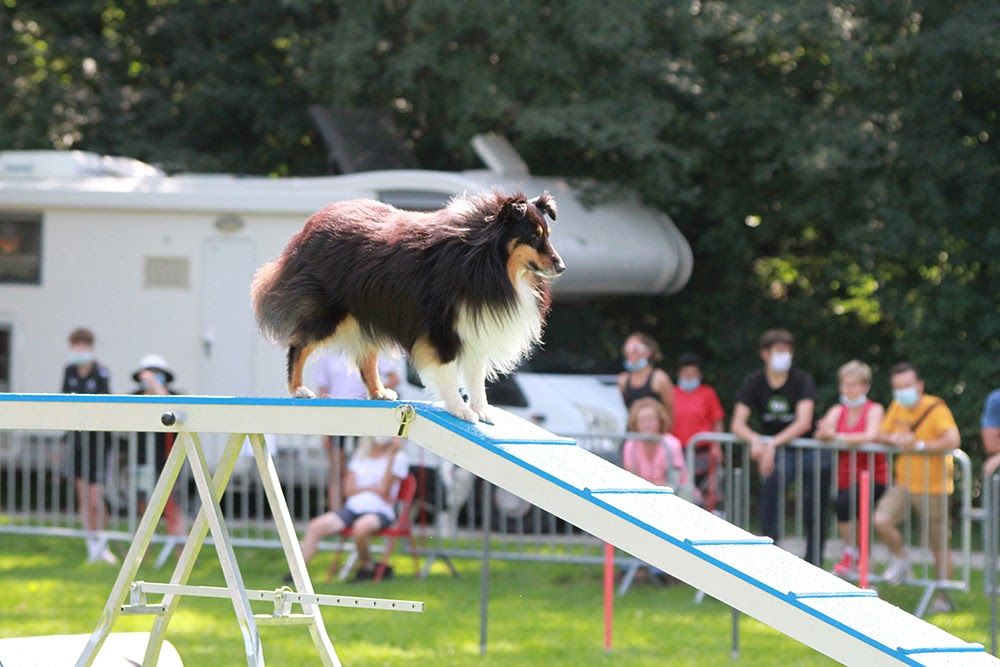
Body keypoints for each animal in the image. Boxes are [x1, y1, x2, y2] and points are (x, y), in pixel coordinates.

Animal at [250, 192, 564, 422]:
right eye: (533, 235)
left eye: (548, 234)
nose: (561, 267)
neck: (485, 259)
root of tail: (312, 225)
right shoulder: (443, 329)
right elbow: (448, 372)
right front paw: (461, 410)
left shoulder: (475, 327)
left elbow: (476, 378)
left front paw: (483, 412)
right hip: (330, 313)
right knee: (299, 344)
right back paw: (298, 389)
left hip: (366, 311)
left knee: (366, 358)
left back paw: (379, 393)